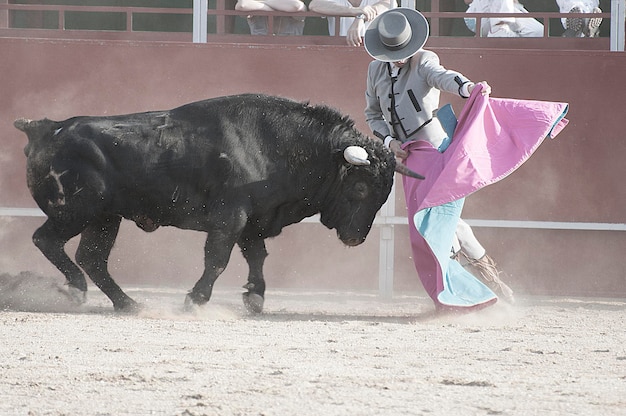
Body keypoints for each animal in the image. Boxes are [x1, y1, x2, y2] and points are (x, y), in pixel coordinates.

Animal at [14, 93, 422, 312]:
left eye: (385, 192)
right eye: (360, 188)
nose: (355, 237)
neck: (278, 144)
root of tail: (47, 128)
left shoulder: (253, 219)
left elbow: (256, 256)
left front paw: (255, 297)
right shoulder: (231, 217)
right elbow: (218, 259)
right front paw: (195, 299)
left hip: (104, 217)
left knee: (93, 258)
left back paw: (128, 303)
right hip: (75, 210)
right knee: (46, 240)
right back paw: (76, 289)